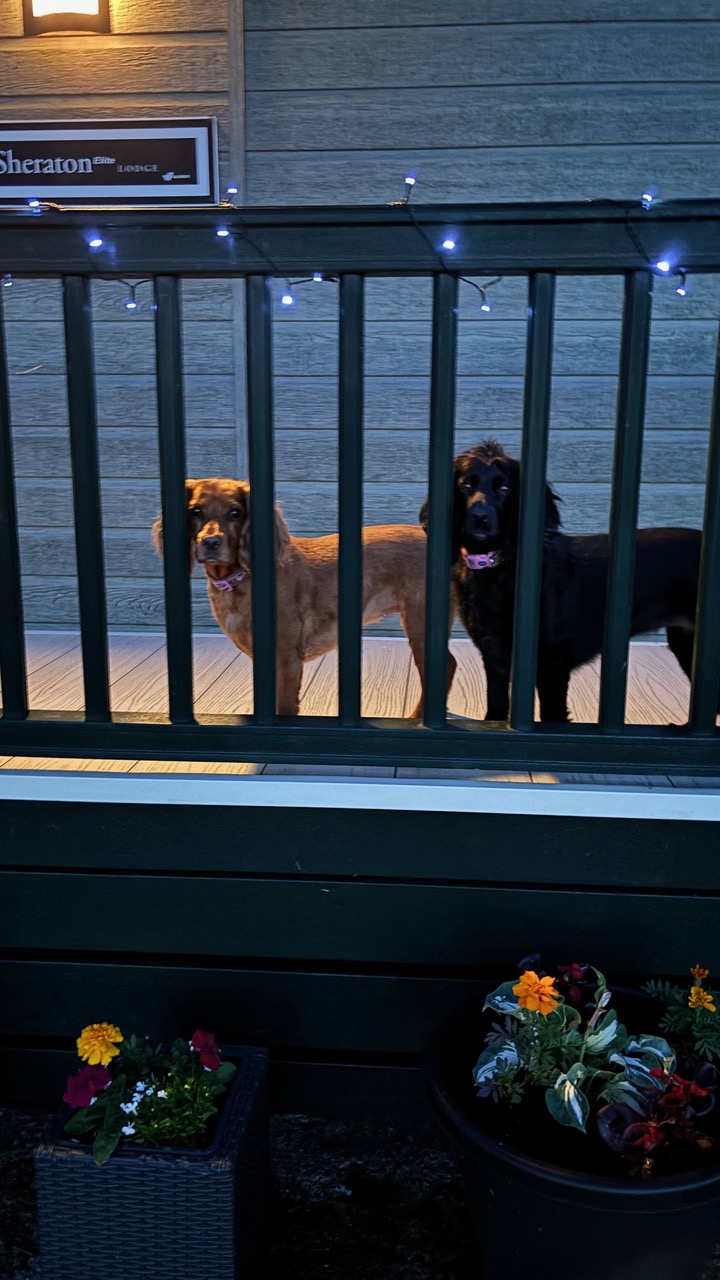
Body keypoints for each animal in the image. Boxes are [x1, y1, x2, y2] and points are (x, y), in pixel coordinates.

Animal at [150, 481, 453, 721]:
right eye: (195, 511)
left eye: (235, 513)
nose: (210, 542)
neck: (243, 578)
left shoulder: (286, 657)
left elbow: (284, 706)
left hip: (420, 624)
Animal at [417, 437, 702, 721]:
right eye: (466, 485)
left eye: (505, 489)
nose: (479, 517)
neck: (499, 567)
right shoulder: (494, 656)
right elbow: (496, 708)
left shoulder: (552, 663)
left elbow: (551, 716)